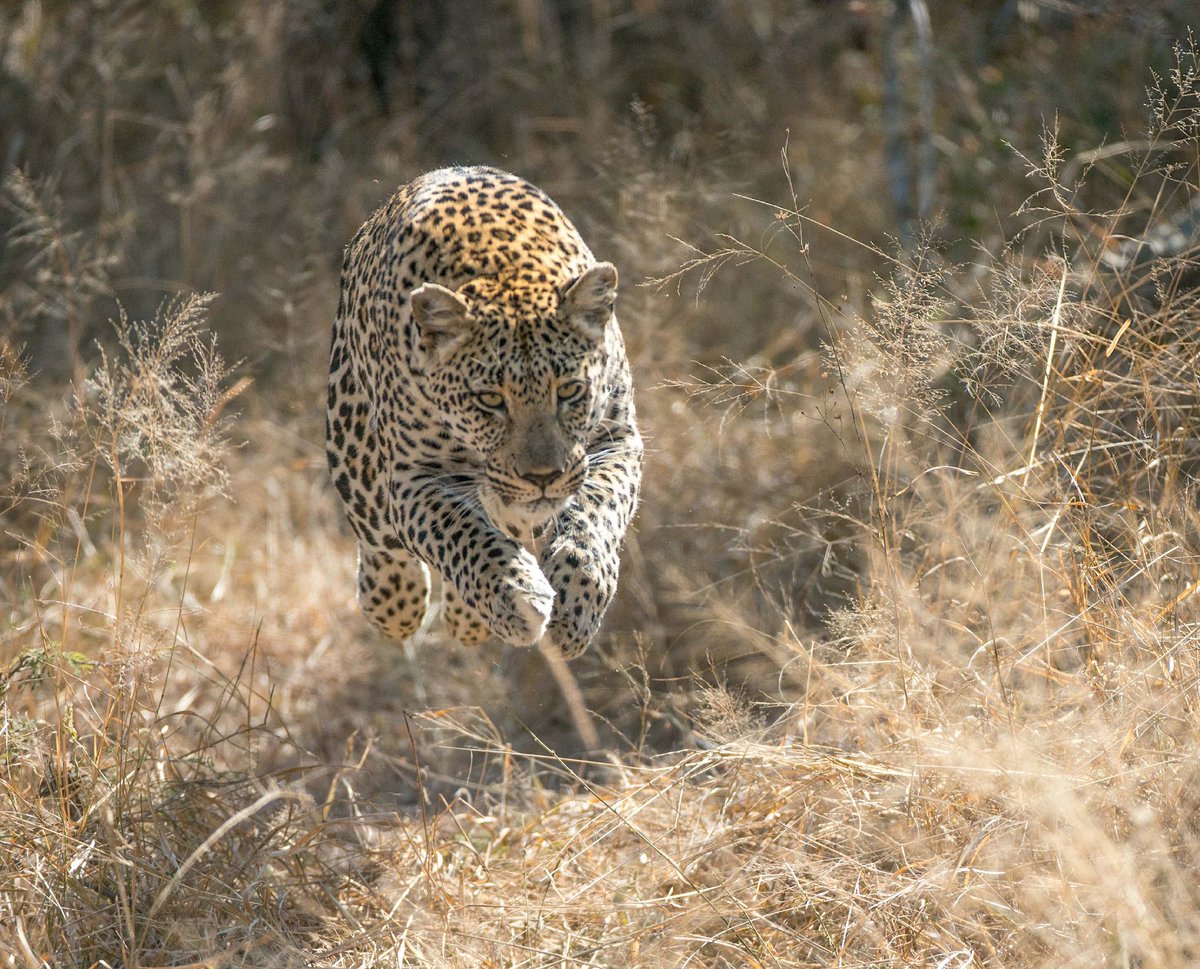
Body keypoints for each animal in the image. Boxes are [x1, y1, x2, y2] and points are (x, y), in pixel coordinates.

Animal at [326, 166, 642, 658]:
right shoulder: (416, 476)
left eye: (570, 391)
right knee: (381, 542)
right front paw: (515, 594)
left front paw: (578, 595)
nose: (543, 477)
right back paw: (395, 604)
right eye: (490, 400)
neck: (504, 272)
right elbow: (460, 532)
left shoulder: (615, 441)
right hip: (352, 439)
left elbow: (597, 511)